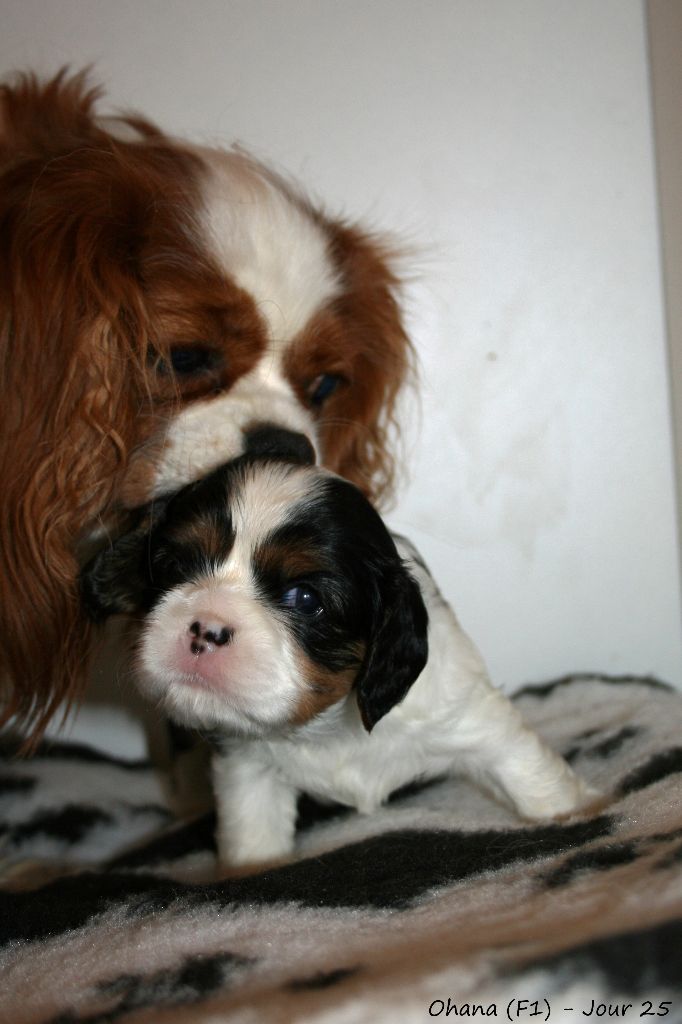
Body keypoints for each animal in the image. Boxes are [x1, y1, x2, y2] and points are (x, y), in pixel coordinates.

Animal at [80, 443, 597, 868]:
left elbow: (530, 772)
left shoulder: (471, 715)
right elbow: (253, 835)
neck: (325, 725)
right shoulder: (247, 769)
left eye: (306, 599)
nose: (206, 628)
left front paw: (577, 814)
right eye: (173, 568)